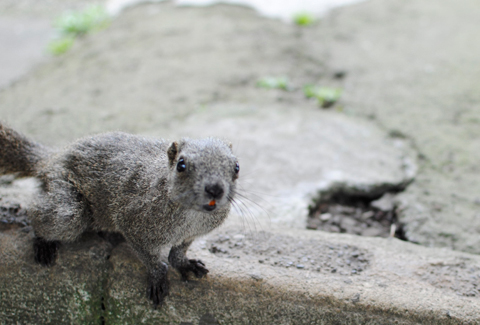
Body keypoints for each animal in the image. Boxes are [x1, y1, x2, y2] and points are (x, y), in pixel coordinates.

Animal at [0, 121, 240, 306]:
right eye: (181, 165)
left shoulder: (191, 234)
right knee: (44, 214)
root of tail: (52, 158)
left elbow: (178, 251)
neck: (192, 217)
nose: (214, 189)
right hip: (66, 203)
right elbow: (151, 258)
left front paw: (184, 263)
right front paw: (158, 276)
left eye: (236, 166)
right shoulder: (134, 222)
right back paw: (43, 242)